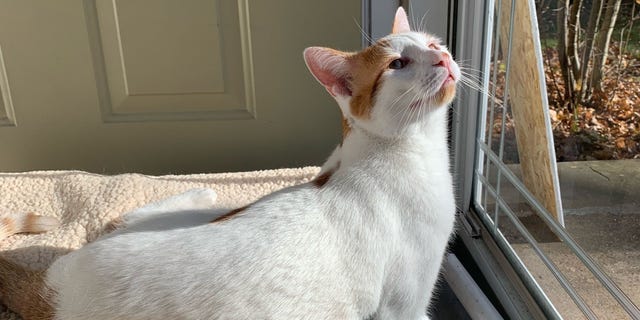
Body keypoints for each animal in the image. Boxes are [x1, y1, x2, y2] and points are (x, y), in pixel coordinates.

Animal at [0, 8, 460, 320]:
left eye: (434, 43)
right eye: (397, 64)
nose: (443, 57)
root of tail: (57, 288)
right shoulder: (403, 306)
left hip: (172, 220)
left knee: (122, 216)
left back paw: (198, 191)